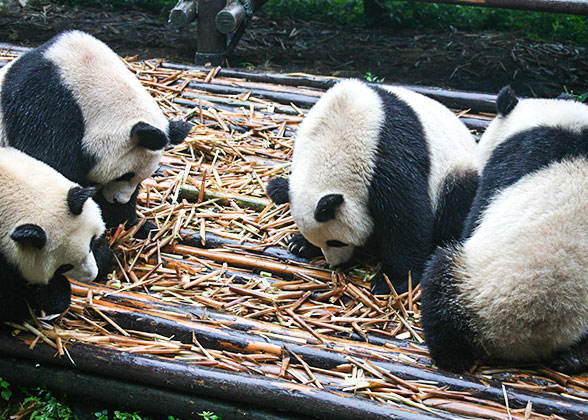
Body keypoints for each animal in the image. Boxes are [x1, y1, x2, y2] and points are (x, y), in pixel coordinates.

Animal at [266, 80, 478, 294]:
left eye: (335, 241)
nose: (336, 262)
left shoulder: (387, 158)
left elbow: (407, 219)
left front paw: (391, 280)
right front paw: (300, 243)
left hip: (455, 170)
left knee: (456, 202)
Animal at [420, 86, 588, 374]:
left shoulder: (509, 159)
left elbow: (474, 217)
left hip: (474, 285)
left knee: (439, 284)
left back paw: (451, 357)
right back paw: (574, 358)